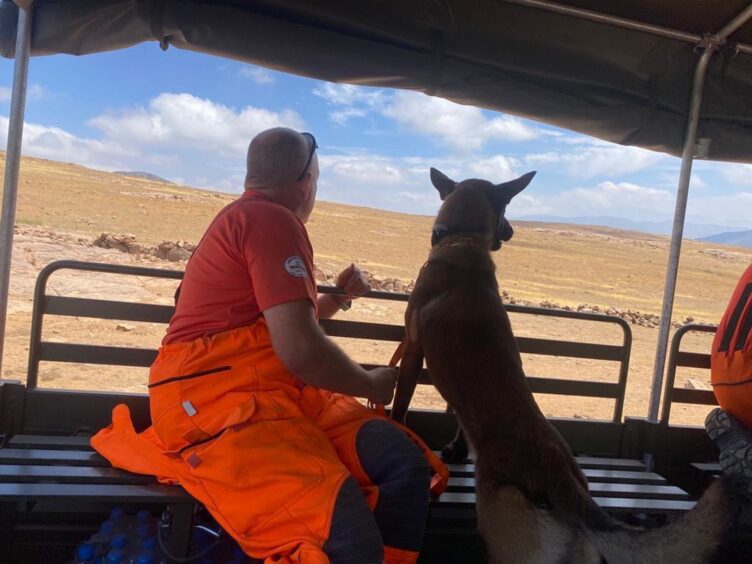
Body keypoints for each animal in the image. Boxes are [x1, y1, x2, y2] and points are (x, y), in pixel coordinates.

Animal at [390, 167, 736, 564]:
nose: (512, 231)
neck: (464, 241)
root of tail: (564, 481)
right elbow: (458, 419)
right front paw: (456, 449)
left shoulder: (414, 351)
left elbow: (400, 405)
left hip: (508, 545)